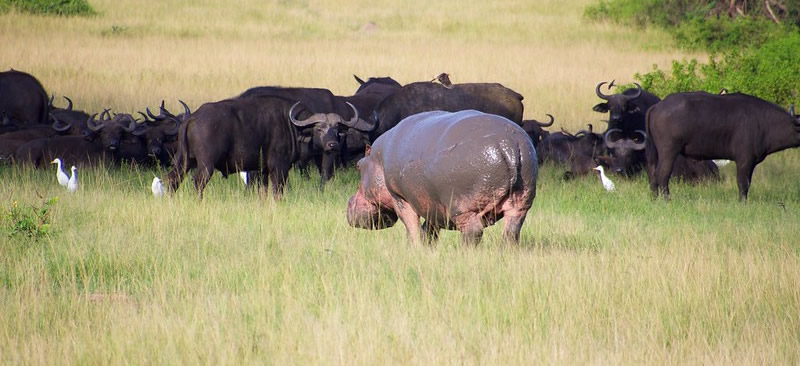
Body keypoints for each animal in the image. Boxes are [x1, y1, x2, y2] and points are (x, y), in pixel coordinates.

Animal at [346, 110, 536, 244]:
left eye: (358, 166)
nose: (348, 204)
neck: (377, 159)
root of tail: (508, 145)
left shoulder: (399, 198)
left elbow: (412, 228)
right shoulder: (432, 204)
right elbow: (429, 231)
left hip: (464, 208)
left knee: (473, 232)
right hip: (520, 205)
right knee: (511, 232)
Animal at [648, 91, 796, 200]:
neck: (764, 123)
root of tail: (657, 106)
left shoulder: (751, 163)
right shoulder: (744, 160)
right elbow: (743, 183)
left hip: (654, 154)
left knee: (653, 174)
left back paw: (654, 198)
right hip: (669, 151)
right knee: (662, 174)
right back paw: (667, 199)